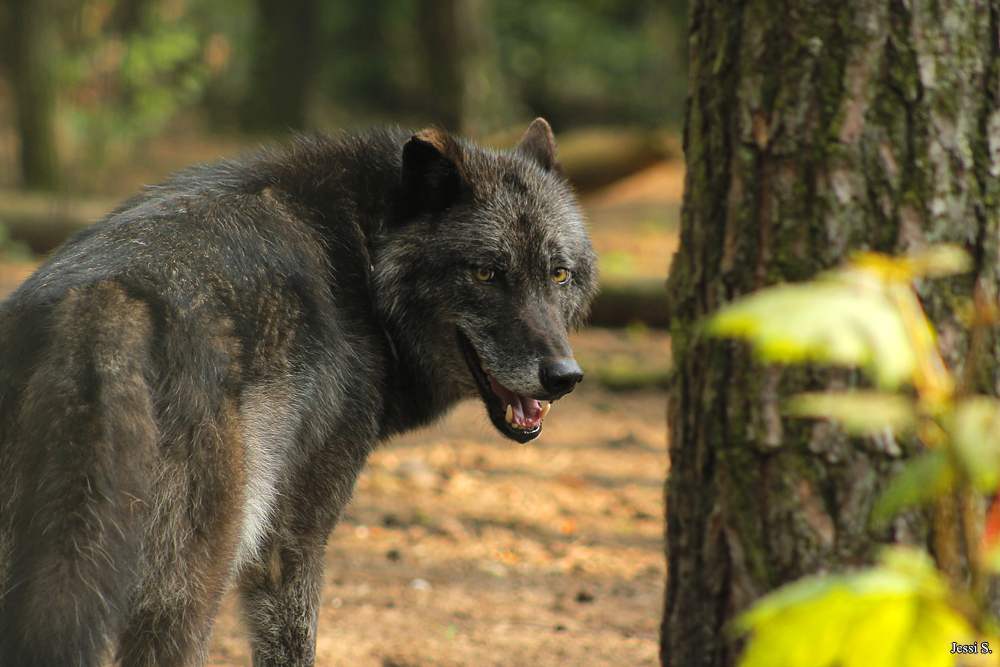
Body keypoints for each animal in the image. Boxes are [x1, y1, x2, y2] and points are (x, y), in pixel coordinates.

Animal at [0, 121, 592, 667]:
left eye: (559, 274)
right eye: (487, 273)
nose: (564, 376)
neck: (365, 258)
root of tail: (100, 302)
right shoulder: (290, 545)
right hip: (185, 596)